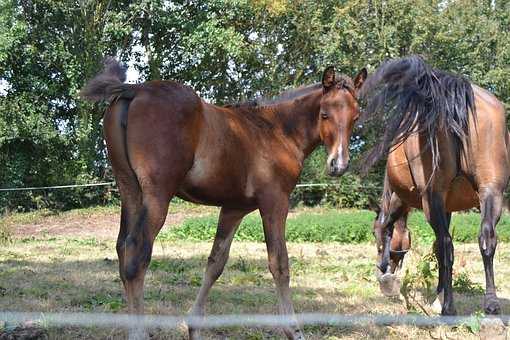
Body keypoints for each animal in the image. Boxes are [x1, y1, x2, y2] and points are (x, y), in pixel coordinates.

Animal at [80, 59, 366, 340]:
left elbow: (216, 262)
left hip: (129, 190)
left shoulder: (233, 208)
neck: (277, 131)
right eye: (325, 114)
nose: (338, 165)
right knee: (137, 256)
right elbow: (279, 264)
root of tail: (135, 88)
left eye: (356, 117)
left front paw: (194, 326)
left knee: (122, 250)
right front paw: (294, 330)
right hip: (157, 195)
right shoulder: (275, 202)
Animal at [360, 55, 508, 316]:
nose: (382, 267)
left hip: (432, 198)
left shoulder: (404, 200)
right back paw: (491, 303)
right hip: (491, 192)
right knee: (486, 238)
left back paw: (448, 306)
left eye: (373, 234)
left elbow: (392, 228)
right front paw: (438, 290)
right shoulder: (448, 207)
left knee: (446, 245)